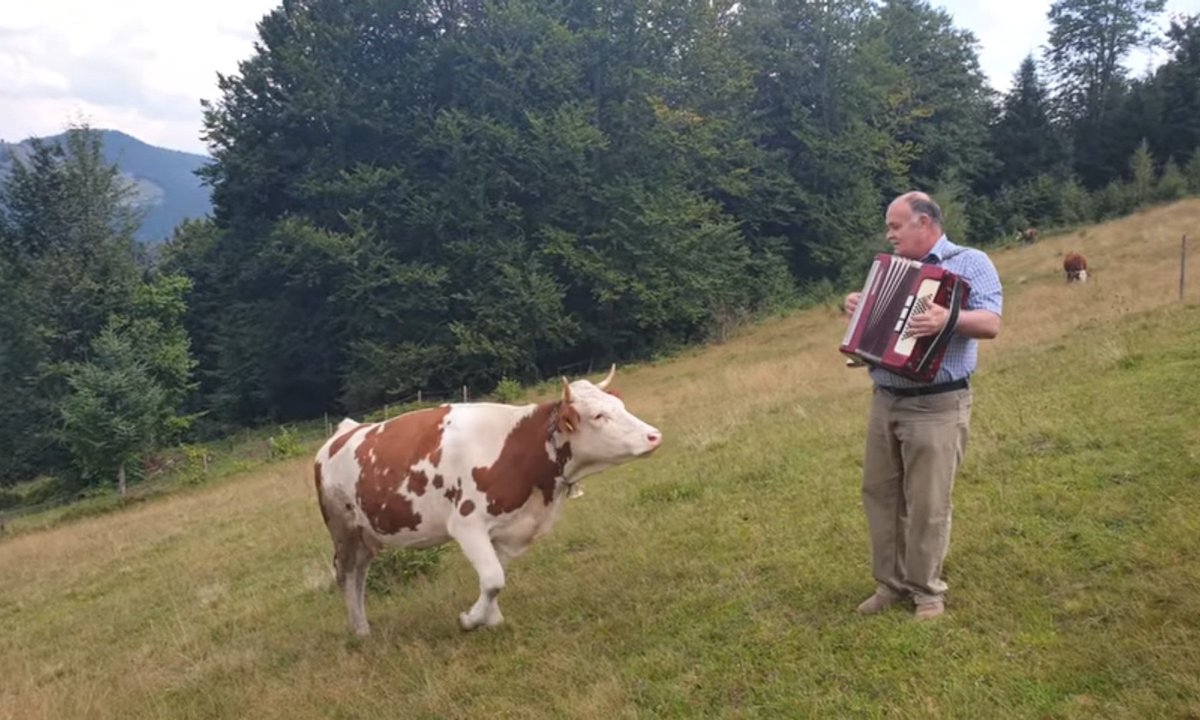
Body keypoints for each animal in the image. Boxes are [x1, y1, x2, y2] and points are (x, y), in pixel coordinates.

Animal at [314, 364, 662, 633]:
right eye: (599, 415)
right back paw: (359, 631)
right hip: (343, 528)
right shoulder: (466, 524)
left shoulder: (508, 526)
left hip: (365, 534)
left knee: (359, 573)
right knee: (346, 574)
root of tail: (343, 432)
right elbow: (494, 578)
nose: (654, 436)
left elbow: (494, 578)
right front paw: (471, 620)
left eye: (620, 407)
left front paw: (488, 617)